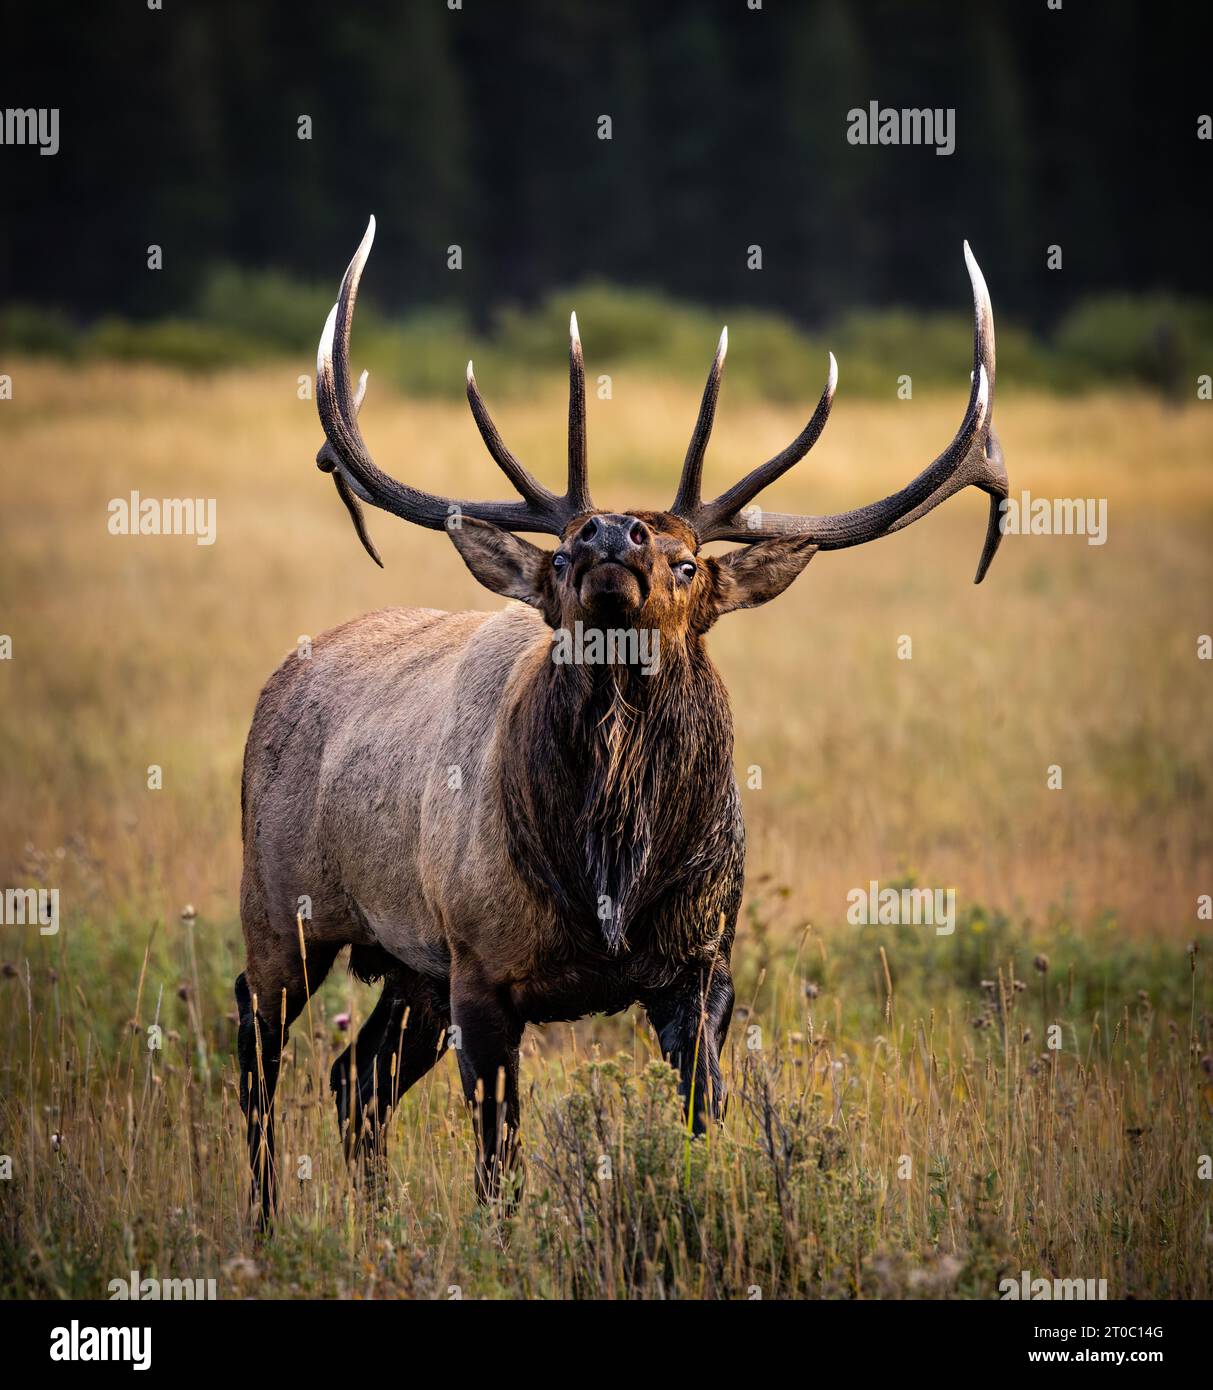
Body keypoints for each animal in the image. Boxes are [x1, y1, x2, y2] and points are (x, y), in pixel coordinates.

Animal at [235, 216, 1007, 1223]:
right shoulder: (480, 967)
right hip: (281, 907)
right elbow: (498, 1164)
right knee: (259, 1058)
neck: (607, 873)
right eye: (561, 557)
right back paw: (266, 1222)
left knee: (351, 1077)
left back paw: (372, 1220)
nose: (609, 535)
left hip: (407, 967)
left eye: (686, 563)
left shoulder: (702, 965)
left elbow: (702, 1118)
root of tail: (282, 676)